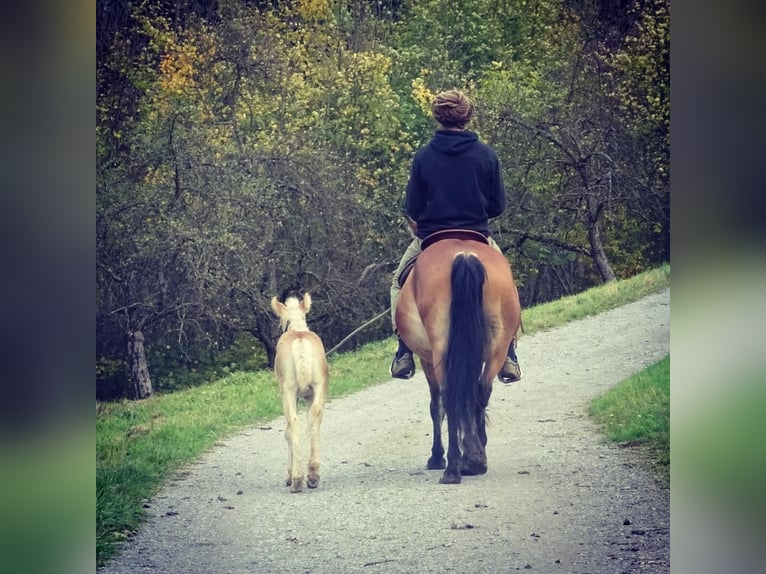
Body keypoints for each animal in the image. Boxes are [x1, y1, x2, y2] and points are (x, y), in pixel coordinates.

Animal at [272, 294, 328, 492]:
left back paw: (296, 479)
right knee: (315, 418)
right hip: (319, 386)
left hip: (288, 390)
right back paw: (313, 475)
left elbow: (287, 432)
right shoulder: (308, 396)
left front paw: (289, 476)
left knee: (293, 424)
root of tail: (300, 342)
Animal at [396, 230, 520, 486]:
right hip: (497, 346)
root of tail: (464, 255)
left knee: (449, 397)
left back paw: (453, 468)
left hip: (441, 350)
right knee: (481, 390)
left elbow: (436, 406)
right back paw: (475, 460)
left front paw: (436, 457)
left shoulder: (428, 360)